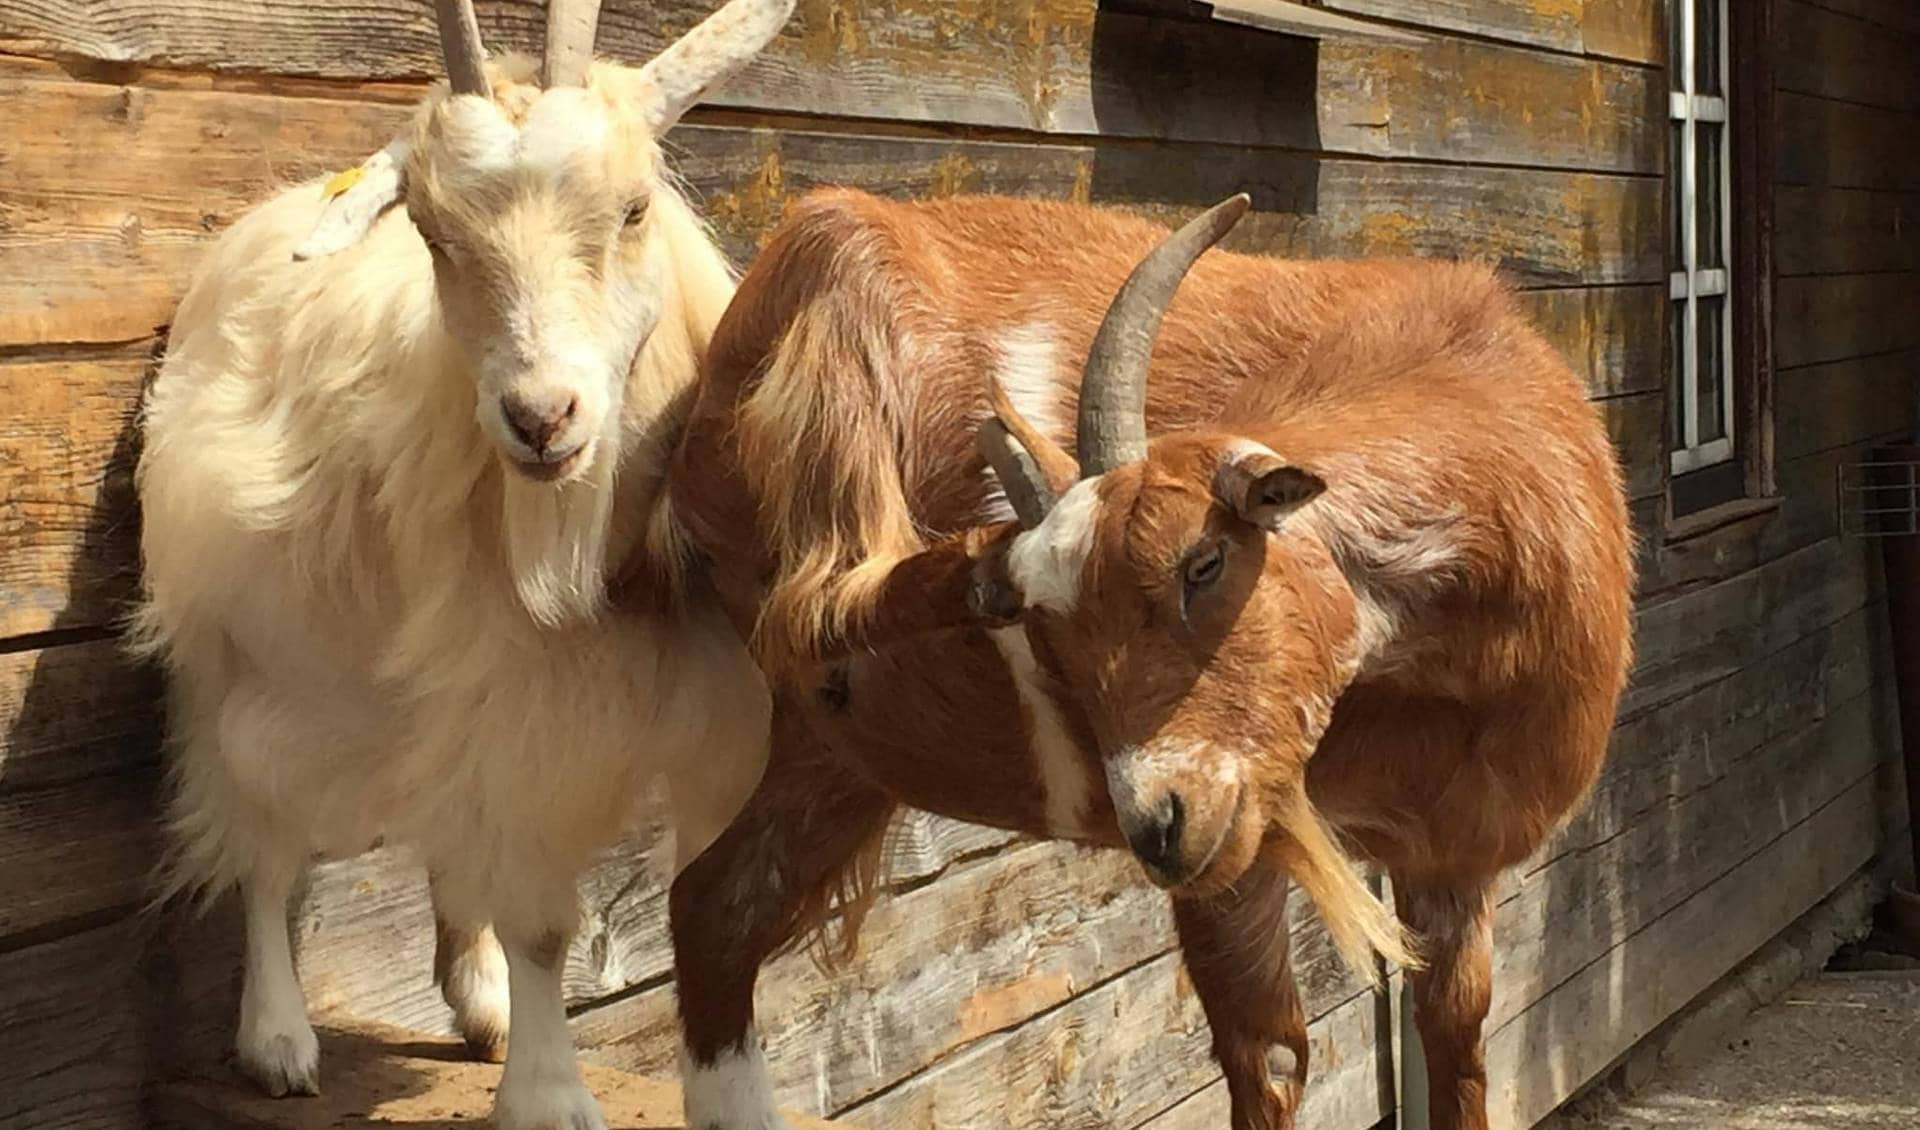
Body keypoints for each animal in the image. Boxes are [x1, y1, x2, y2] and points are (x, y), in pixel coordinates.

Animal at [135, 4, 794, 1120]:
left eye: (633, 208)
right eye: (436, 235)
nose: (541, 417)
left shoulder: (707, 717)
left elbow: (721, 921)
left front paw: (736, 1100)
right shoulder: (523, 710)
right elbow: (542, 919)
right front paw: (548, 1094)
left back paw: (478, 996)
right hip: (234, 658)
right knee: (260, 838)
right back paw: (278, 1039)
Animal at [664, 189, 1635, 1120]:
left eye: (1203, 563)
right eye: (1047, 634)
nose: (1156, 826)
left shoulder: (1449, 856)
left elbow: (1458, 1040)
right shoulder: (1242, 850)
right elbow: (1269, 1057)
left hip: (833, 754)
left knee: (713, 912)